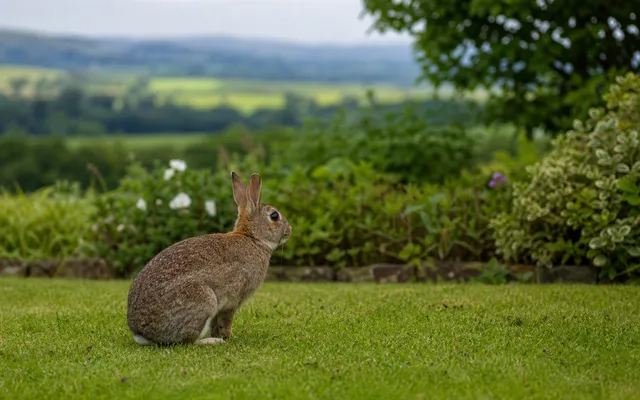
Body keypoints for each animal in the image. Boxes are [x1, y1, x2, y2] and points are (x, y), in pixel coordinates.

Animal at [127, 171, 292, 346]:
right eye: (274, 216)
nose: (290, 229)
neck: (252, 238)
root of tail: (141, 333)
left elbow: (215, 323)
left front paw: (219, 334)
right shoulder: (233, 300)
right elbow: (226, 320)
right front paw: (228, 337)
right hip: (204, 300)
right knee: (189, 341)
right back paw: (211, 341)